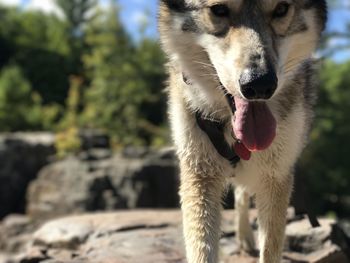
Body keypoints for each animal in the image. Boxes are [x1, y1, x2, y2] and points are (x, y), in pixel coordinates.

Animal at [159, 1, 328, 262]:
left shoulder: (276, 176)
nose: (260, 84)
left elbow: (270, 249)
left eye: (281, 9)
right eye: (219, 10)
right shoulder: (199, 175)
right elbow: (202, 249)